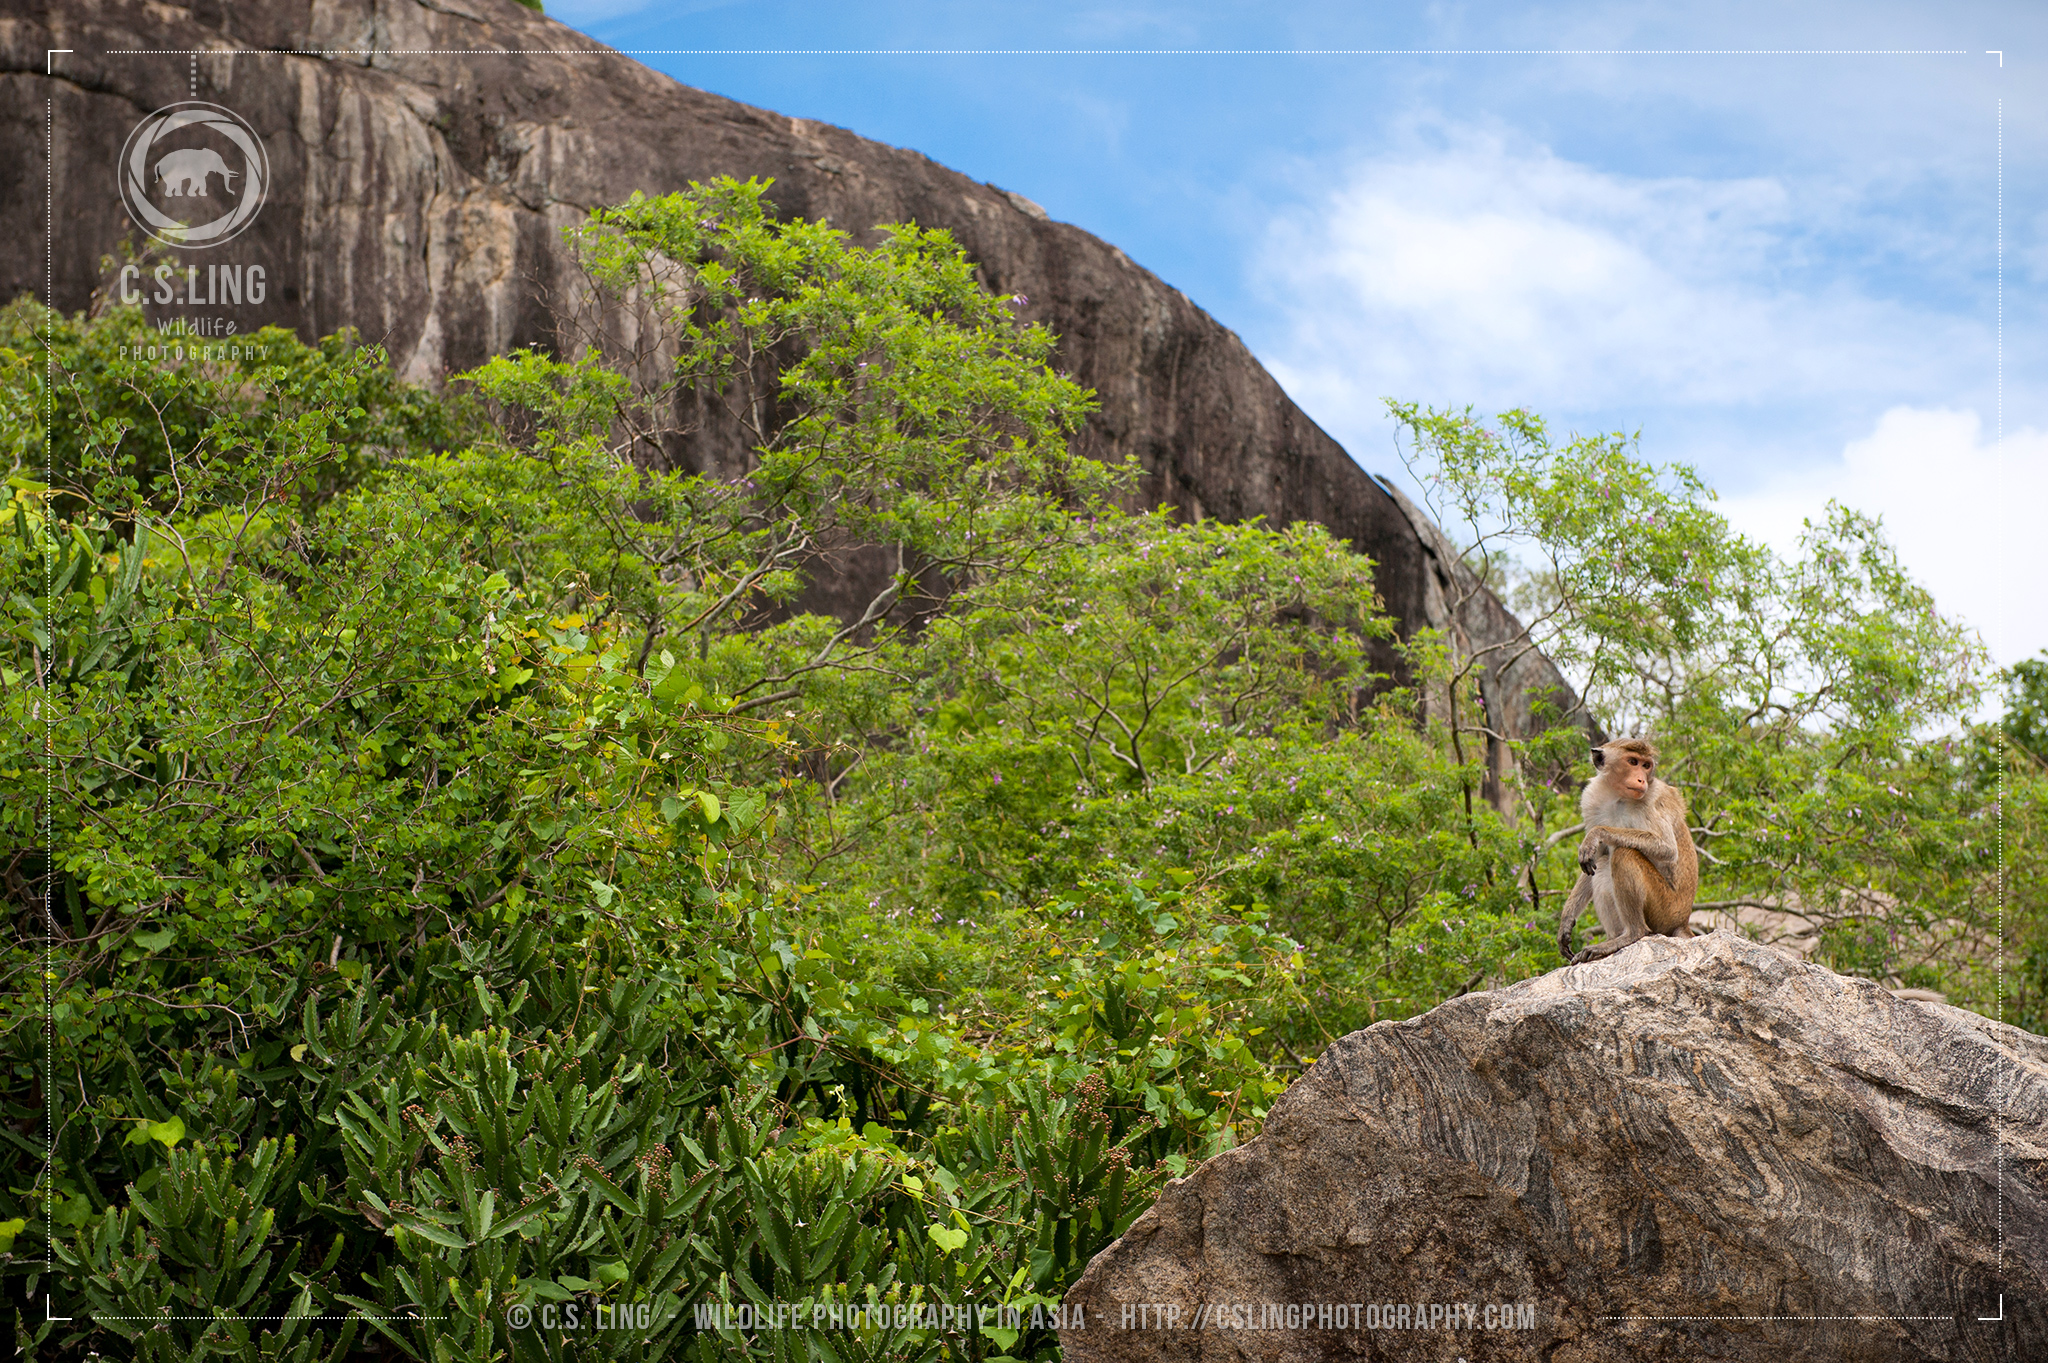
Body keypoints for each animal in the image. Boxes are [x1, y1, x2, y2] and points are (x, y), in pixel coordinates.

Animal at [1556, 737, 1699, 965]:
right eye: (1633, 762)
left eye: (1646, 765)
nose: (1641, 780)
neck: (1619, 797)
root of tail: (1683, 921)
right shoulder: (1591, 800)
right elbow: (1594, 858)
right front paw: (1567, 919)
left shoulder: (1653, 799)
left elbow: (1667, 849)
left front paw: (1597, 833)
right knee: (1604, 863)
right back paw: (1613, 939)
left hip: (1666, 910)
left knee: (1624, 853)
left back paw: (1632, 934)